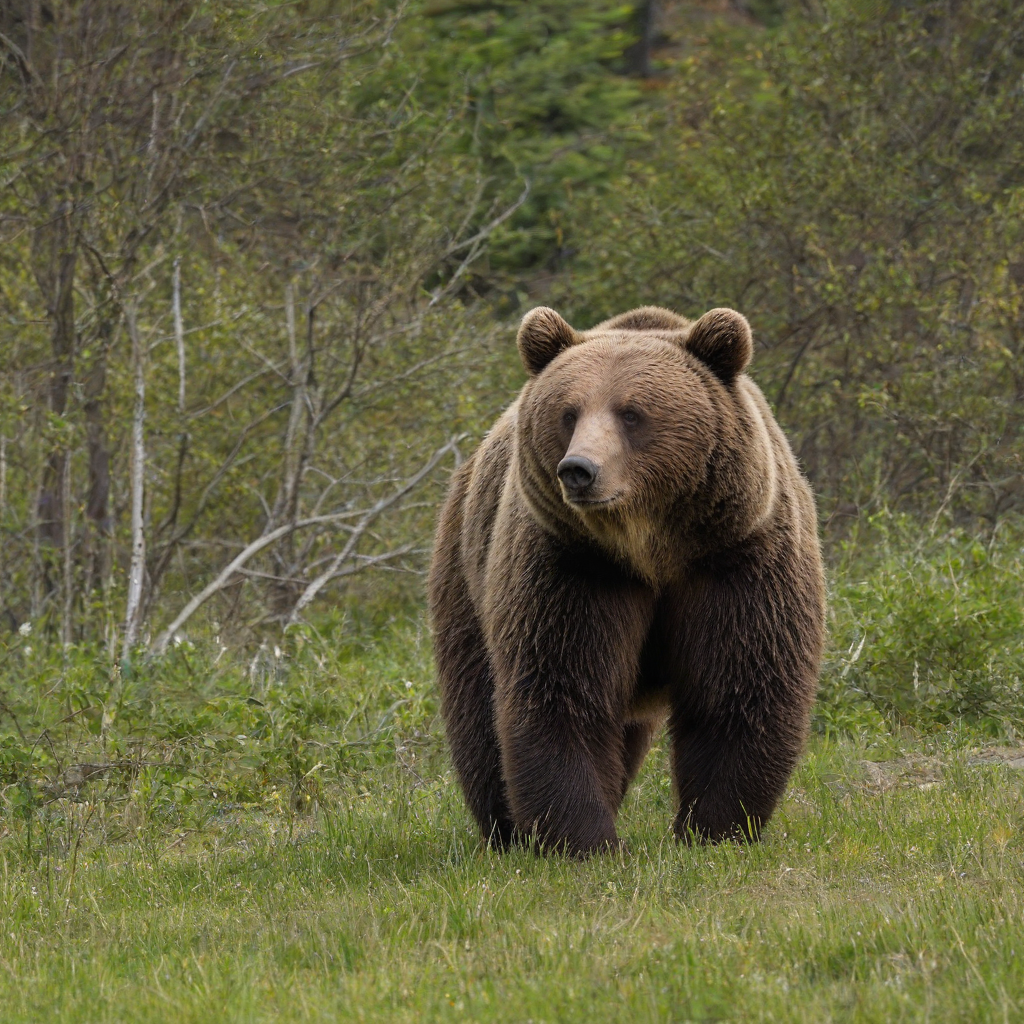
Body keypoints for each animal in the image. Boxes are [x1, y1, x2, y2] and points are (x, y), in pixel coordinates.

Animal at [427, 304, 825, 856]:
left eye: (631, 413)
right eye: (569, 412)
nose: (578, 469)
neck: (650, 547)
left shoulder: (736, 558)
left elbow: (739, 686)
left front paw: (714, 831)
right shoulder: (574, 566)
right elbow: (564, 688)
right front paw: (583, 840)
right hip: (469, 568)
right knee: (477, 708)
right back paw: (504, 830)